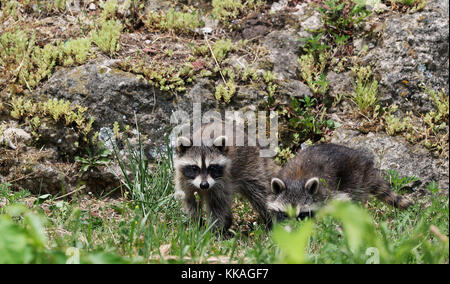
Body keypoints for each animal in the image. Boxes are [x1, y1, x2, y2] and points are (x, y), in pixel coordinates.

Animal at [268, 144, 414, 222]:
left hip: (355, 178)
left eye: (302, 214)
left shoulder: (327, 193)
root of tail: (367, 166)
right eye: (285, 214)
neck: (296, 180)